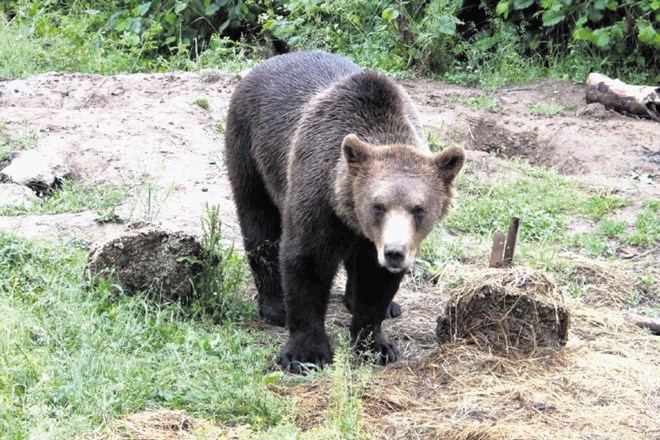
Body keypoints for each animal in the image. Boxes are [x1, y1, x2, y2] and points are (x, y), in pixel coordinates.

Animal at [224, 52, 462, 374]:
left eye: (419, 209)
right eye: (378, 205)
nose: (394, 252)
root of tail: (273, 59)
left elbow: (374, 281)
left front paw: (376, 344)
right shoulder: (317, 195)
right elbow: (306, 261)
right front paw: (306, 354)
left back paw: (380, 305)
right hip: (250, 149)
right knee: (259, 224)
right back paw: (275, 305)